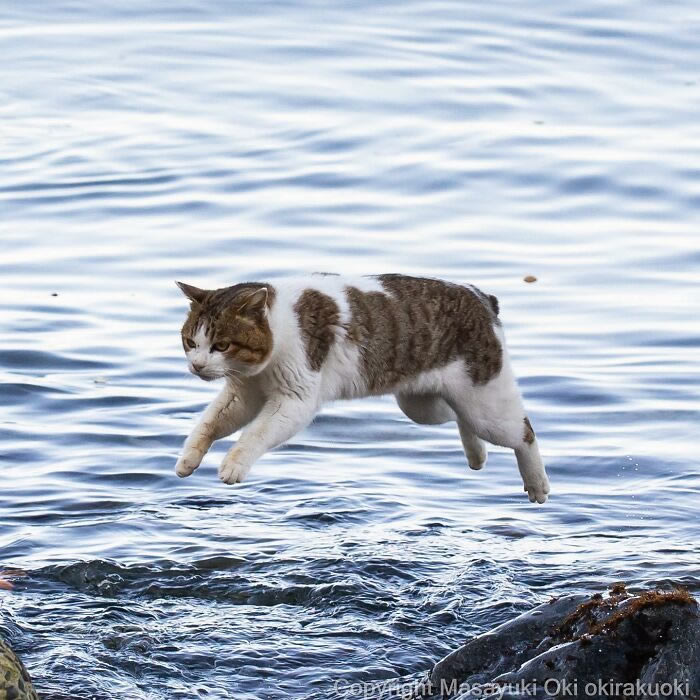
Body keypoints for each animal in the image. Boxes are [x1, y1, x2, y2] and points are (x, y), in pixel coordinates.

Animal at [172, 274, 548, 504]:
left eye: (221, 345)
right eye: (191, 342)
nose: (197, 366)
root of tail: (480, 296)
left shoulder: (294, 399)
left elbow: (255, 434)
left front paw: (234, 464)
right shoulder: (243, 392)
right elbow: (209, 423)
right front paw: (189, 457)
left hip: (485, 403)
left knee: (523, 432)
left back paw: (536, 483)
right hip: (424, 405)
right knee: (458, 417)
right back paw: (476, 453)